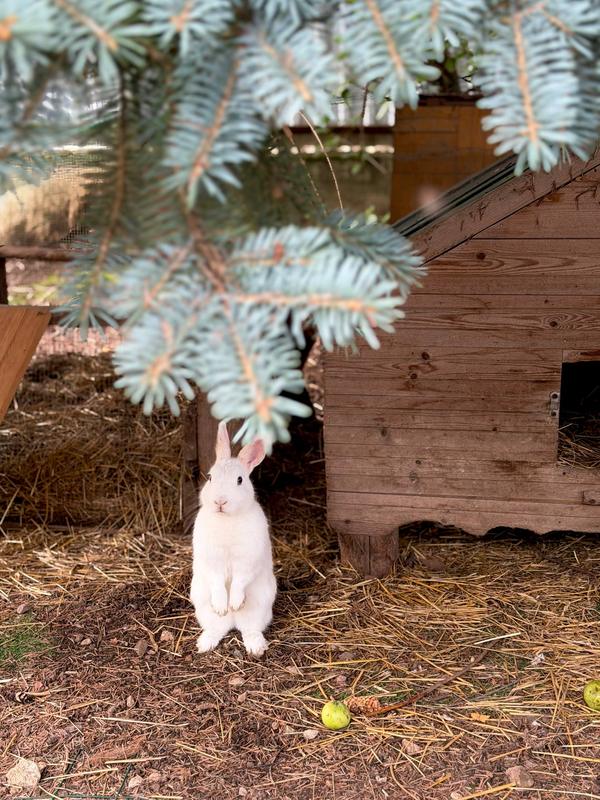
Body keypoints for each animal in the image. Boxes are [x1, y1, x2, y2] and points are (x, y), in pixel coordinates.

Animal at [189, 420, 277, 657]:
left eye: (240, 480)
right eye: (210, 477)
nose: (220, 501)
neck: (226, 519)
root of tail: (234, 623)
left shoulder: (248, 560)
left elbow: (239, 580)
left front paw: (235, 602)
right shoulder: (212, 560)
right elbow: (218, 581)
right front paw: (222, 606)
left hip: (261, 606)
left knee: (250, 630)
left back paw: (255, 647)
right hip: (202, 603)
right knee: (216, 628)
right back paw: (205, 643)